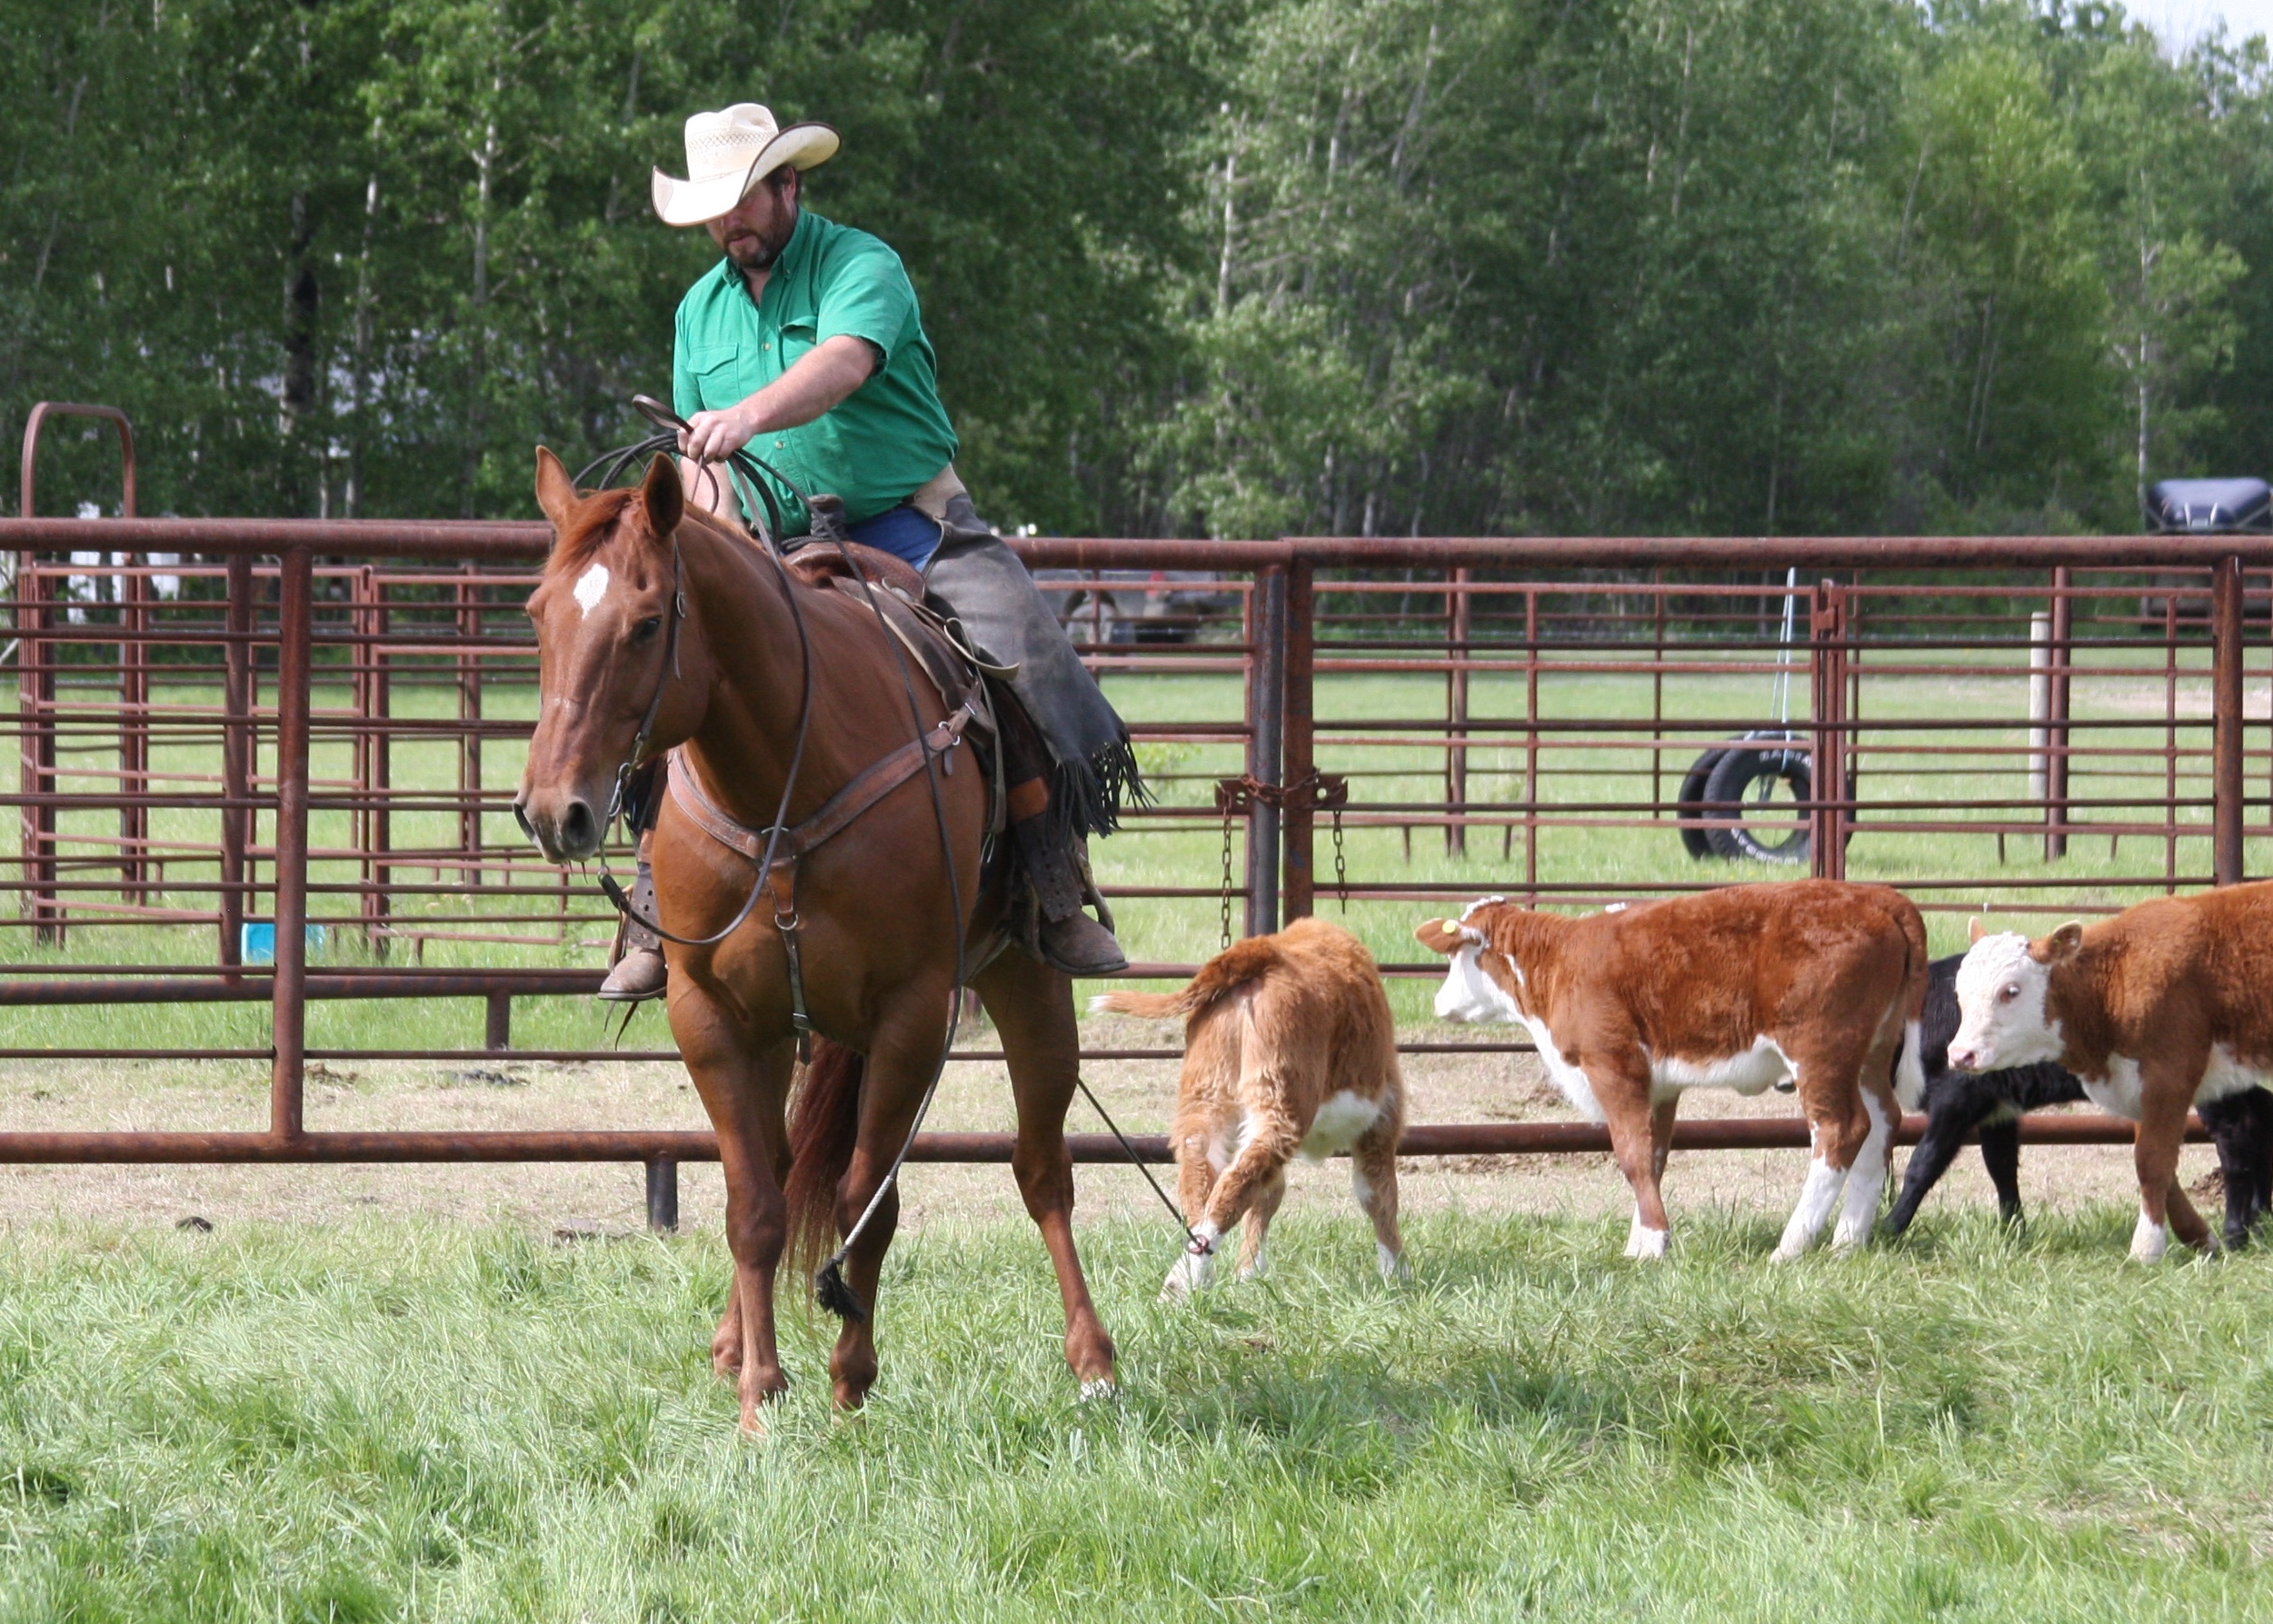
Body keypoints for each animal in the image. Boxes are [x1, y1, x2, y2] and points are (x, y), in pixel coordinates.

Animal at [513, 448, 1117, 1427]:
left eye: (646, 623)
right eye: (538, 614)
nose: (549, 810)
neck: (785, 785)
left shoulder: (912, 1015)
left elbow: (866, 1196)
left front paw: (849, 1372)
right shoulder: (711, 1017)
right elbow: (755, 1203)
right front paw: (760, 1390)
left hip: (1025, 982)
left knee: (1040, 1167)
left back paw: (1092, 1356)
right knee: (779, 1166)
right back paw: (731, 1342)